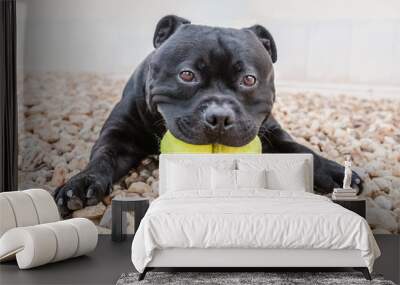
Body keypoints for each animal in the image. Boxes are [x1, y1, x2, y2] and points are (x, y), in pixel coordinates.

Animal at [54, 15, 362, 215]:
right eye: (187, 75)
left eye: (249, 79)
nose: (220, 117)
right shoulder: (119, 136)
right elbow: (103, 157)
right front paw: (81, 183)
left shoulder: (270, 132)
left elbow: (299, 148)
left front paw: (334, 171)